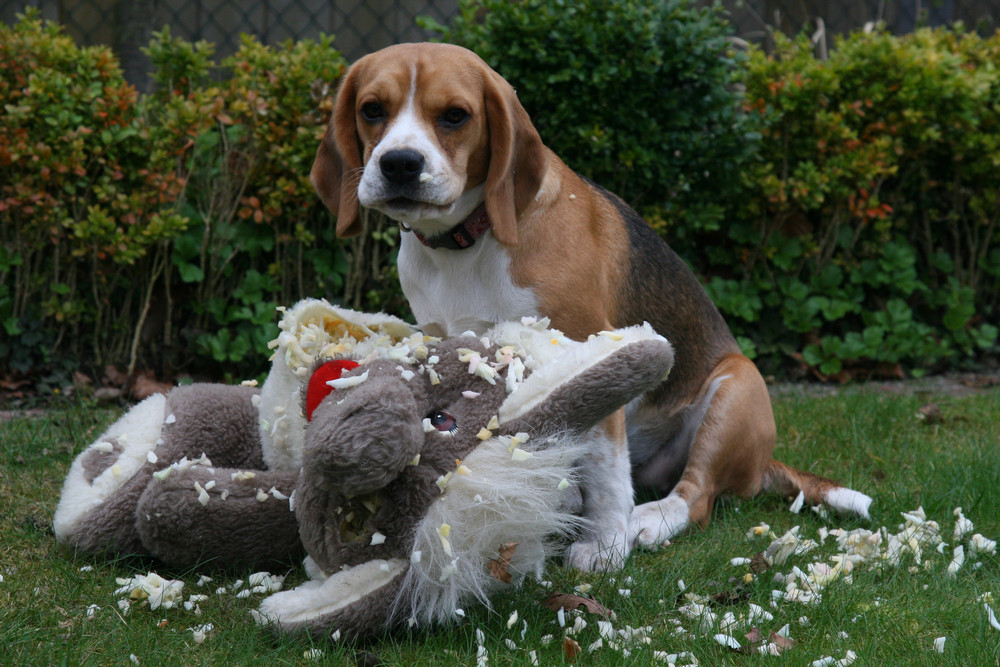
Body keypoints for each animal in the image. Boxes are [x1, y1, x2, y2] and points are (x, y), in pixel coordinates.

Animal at [308, 44, 872, 572]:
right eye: (371, 109)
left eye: (454, 116)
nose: (399, 164)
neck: (465, 243)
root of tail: (763, 463)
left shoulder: (588, 348)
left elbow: (603, 465)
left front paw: (602, 544)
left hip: (738, 387)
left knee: (700, 496)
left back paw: (651, 518)